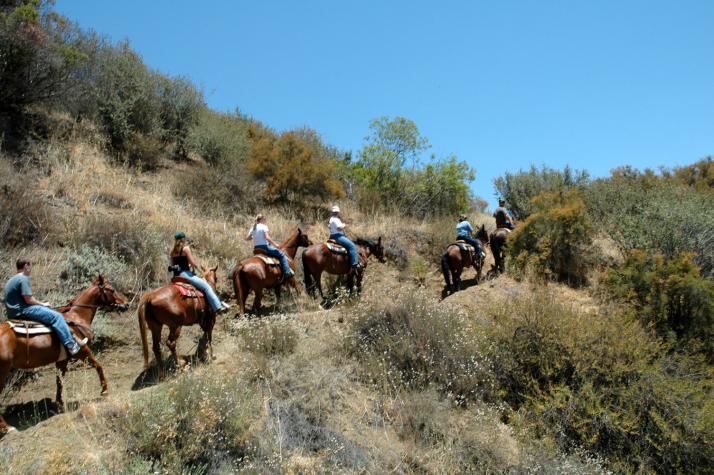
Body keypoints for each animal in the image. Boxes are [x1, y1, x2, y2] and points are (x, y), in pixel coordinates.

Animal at [0, 276, 126, 436]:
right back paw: (7, 427)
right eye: (111, 289)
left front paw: (59, 403)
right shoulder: (82, 350)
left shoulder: (62, 359)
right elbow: (99, 366)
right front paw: (104, 390)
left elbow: (59, 381)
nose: (126, 303)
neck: (77, 318)